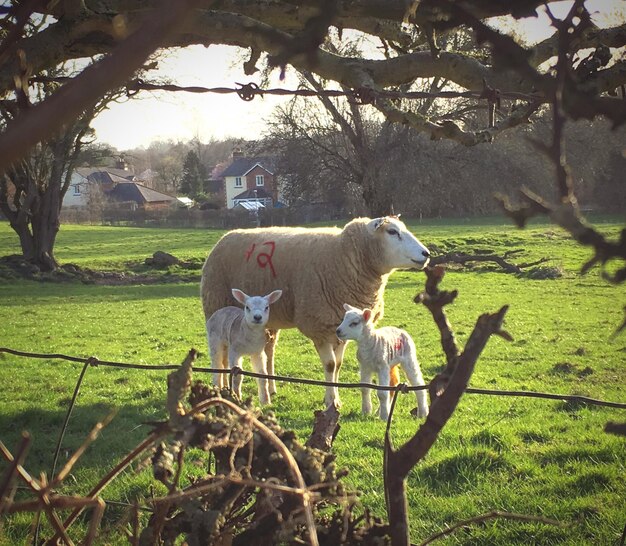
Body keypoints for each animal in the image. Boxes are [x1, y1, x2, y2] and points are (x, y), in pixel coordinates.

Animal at [201, 215, 428, 406]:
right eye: (392, 231)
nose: (426, 254)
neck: (343, 257)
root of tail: (224, 237)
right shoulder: (318, 325)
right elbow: (329, 365)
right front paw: (331, 401)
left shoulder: (340, 328)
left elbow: (338, 364)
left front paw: (336, 397)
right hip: (216, 309)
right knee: (221, 355)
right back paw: (222, 389)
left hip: (268, 320)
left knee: (268, 351)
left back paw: (270, 389)